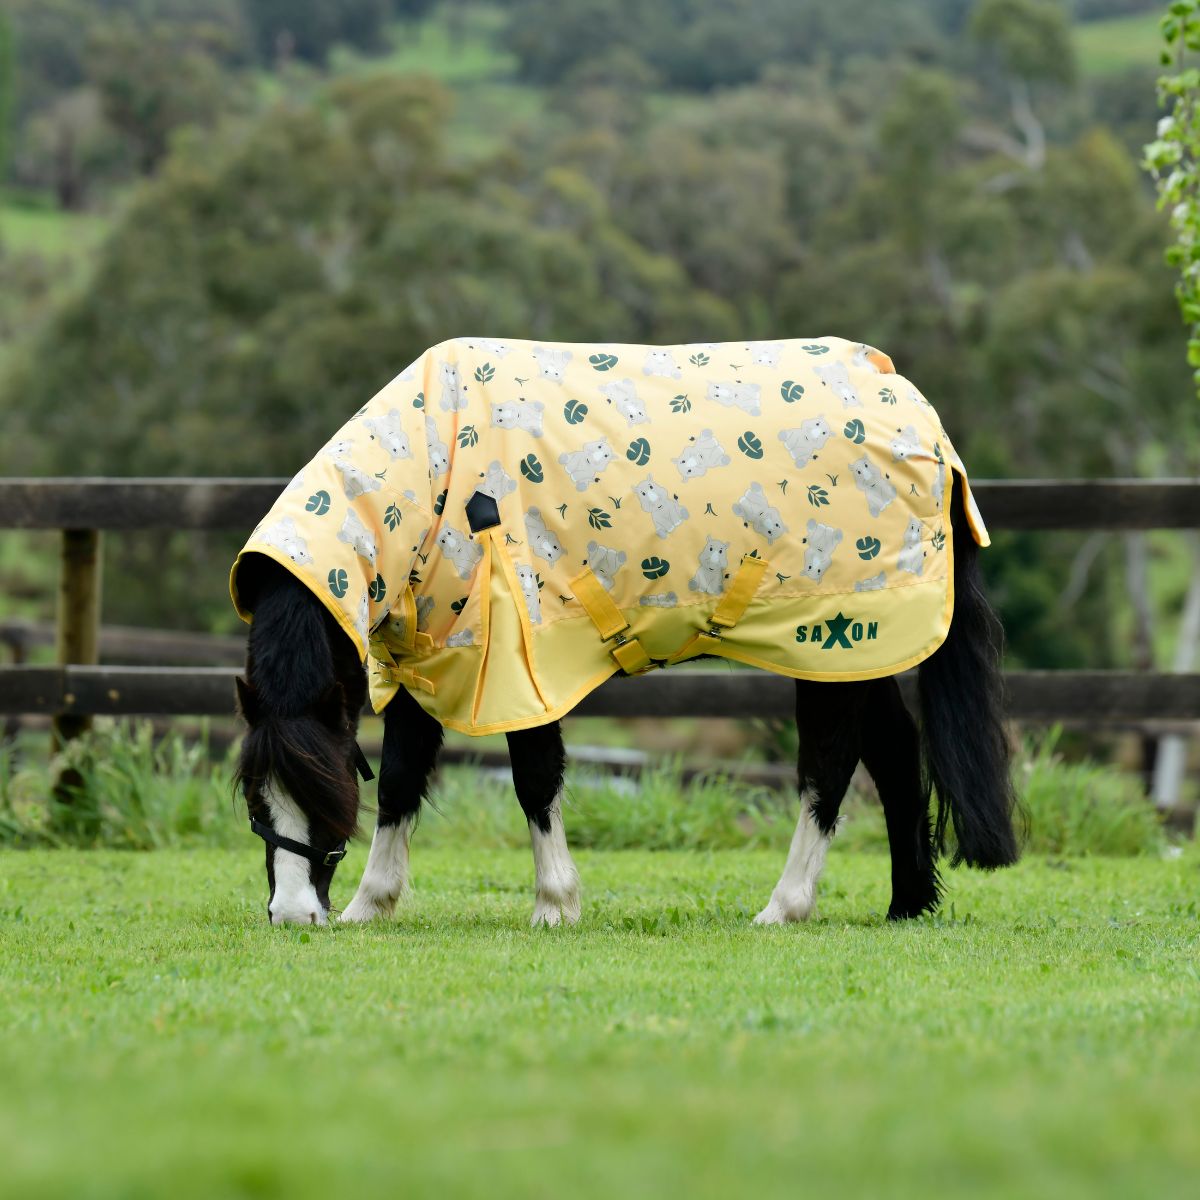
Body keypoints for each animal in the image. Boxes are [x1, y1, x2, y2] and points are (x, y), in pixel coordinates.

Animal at [231, 336, 1019, 926]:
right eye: (255, 799)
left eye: (322, 795)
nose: (294, 915)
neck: (434, 472)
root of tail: (910, 404)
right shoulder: (426, 658)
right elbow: (399, 780)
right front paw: (371, 904)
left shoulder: (521, 660)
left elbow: (534, 779)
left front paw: (555, 905)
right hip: (857, 650)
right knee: (894, 755)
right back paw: (906, 904)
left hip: (831, 643)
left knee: (829, 767)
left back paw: (785, 906)